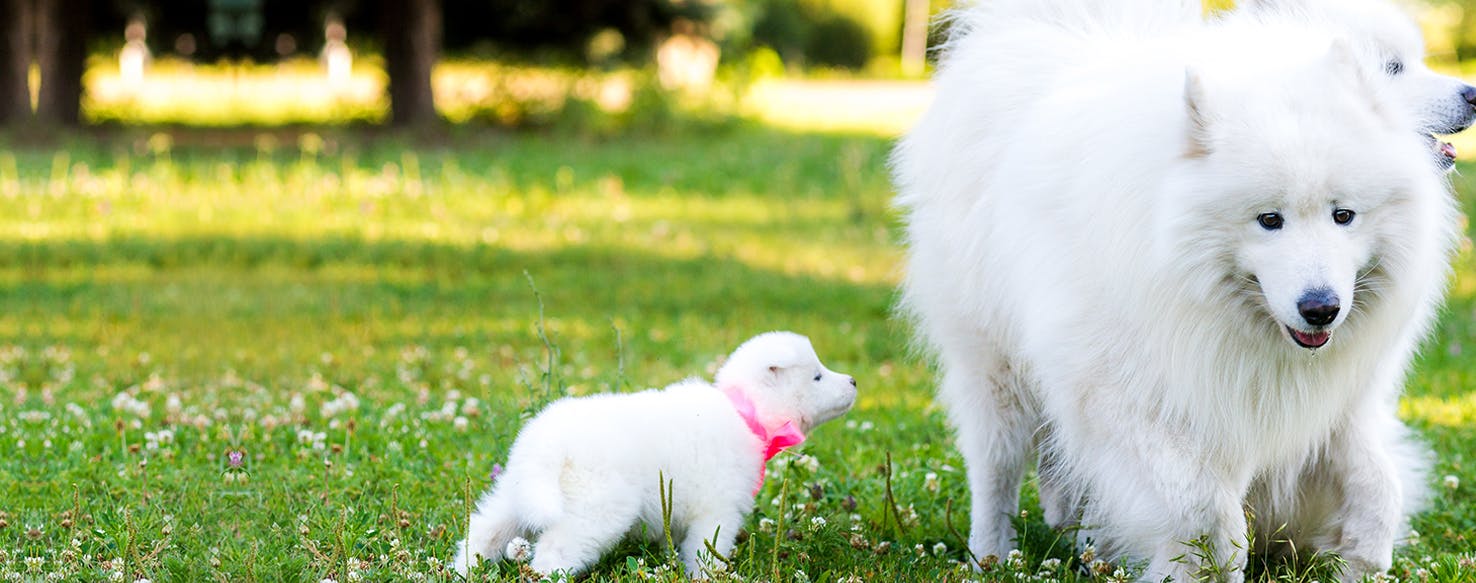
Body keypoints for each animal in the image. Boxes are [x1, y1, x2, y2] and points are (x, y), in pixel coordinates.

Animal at [454, 333, 861, 578]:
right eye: (817, 377)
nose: (854, 381)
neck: (745, 413)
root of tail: (547, 443)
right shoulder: (718, 511)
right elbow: (705, 552)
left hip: (516, 493)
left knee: (484, 532)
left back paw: (462, 571)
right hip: (596, 509)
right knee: (555, 550)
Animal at [885, 1, 1464, 578]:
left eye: (1343, 215)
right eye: (1269, 220)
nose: (1321, 308)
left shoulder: (1334, 405)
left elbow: (1379, 486)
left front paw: (1362, 560)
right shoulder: (1135, 403)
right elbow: (1210, 514)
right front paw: (1203, 567)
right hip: (996, 369)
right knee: (996, 469)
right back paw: (991, 552)